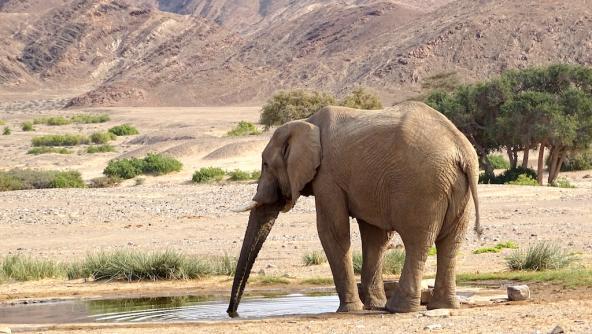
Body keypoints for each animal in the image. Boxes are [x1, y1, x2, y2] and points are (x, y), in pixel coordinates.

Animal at [227, 100, 480, 318]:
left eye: (265, 164)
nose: (232, 313)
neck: (306, 122)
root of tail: (461, 149)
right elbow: (375, 237)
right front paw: (372, 306)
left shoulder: (328, 176)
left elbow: (333, 232)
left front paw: (349, 309)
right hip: (457, 187)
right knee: (450, 243)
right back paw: (443, 306)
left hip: (422, 187)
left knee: (417, 242)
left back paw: (398, 308)